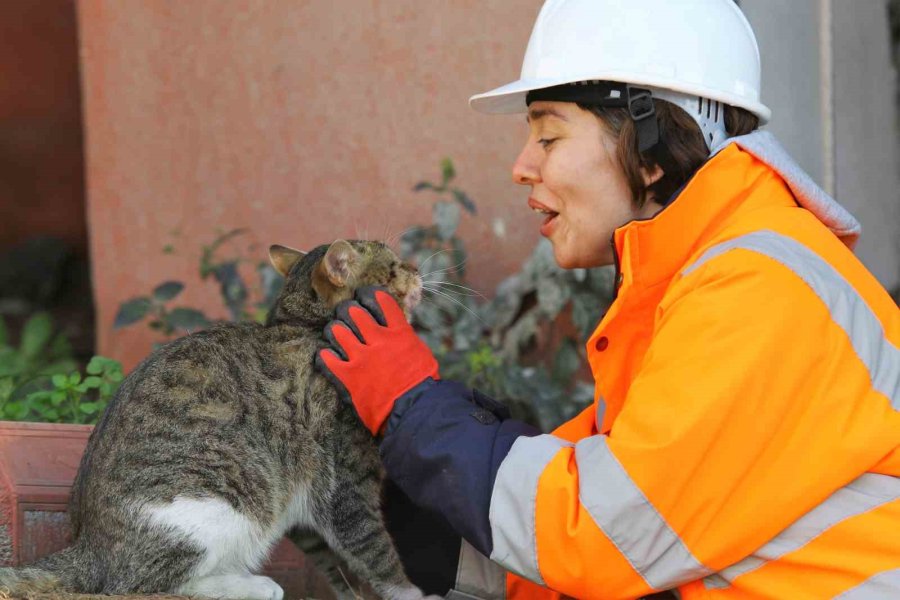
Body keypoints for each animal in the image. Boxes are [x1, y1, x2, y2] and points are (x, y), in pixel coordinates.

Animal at [0, 239, 440, 600]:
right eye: (395, 266)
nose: (417, 269)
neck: (309, 326)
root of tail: (89, 549)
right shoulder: (345, 480)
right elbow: (375, 550)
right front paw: (414, 594)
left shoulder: (306, 507)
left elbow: (335, 567)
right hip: (219, 505)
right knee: (148, 583)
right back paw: (253, 585)